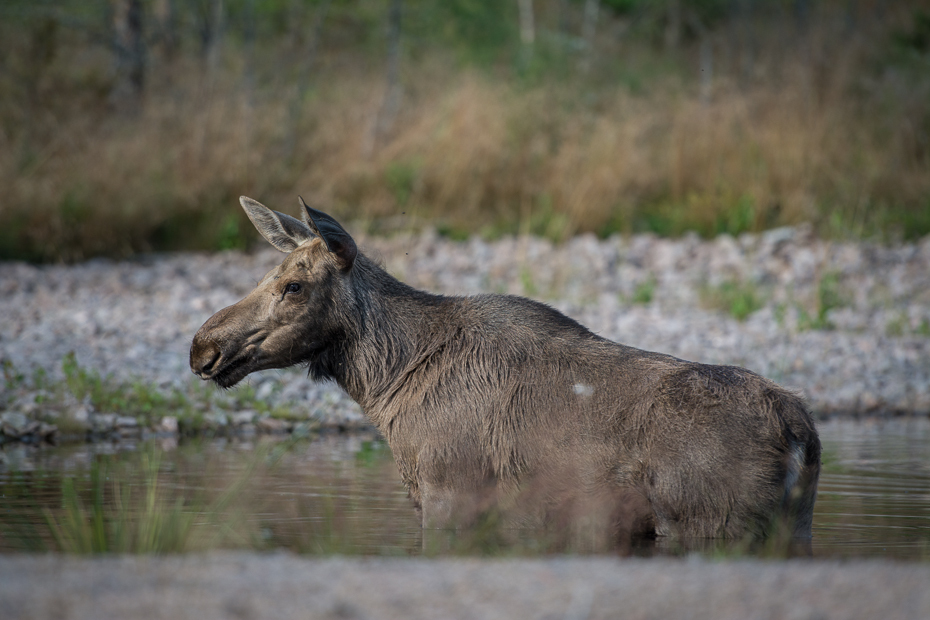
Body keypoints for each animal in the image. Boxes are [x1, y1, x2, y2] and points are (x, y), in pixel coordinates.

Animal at [190, 195, 820, 544]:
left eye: (293, 286)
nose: (203, 347)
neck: (386, 387)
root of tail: (799, 431)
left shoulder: (451, 495)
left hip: (712, 520)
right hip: (790, 524)